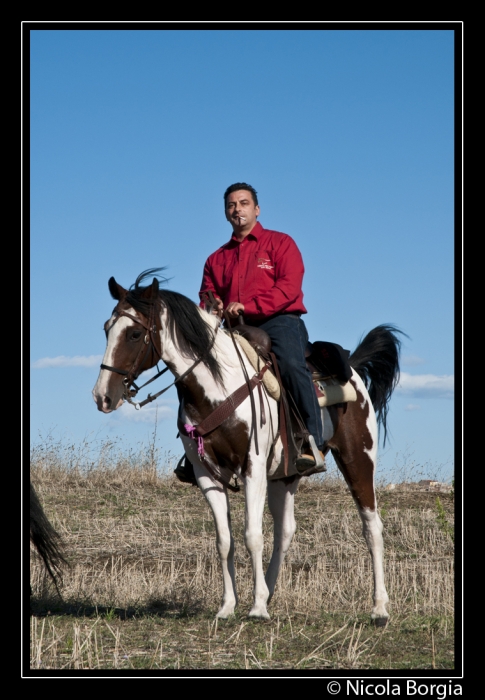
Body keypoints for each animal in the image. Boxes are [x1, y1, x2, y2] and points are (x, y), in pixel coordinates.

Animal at [92, 270, 402, 628]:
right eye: (106, 329)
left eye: (134, 333)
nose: (102, 396)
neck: (218, 386)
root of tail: (350, 367)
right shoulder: (207, 474)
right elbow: (224, 540)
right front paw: (230, 605)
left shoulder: (252, 466)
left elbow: (252, 535)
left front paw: (256, 608)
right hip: (285, 475)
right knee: (285, 532)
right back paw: (269, 590)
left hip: (358, 460)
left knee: (371, 527)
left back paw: (379, 608)